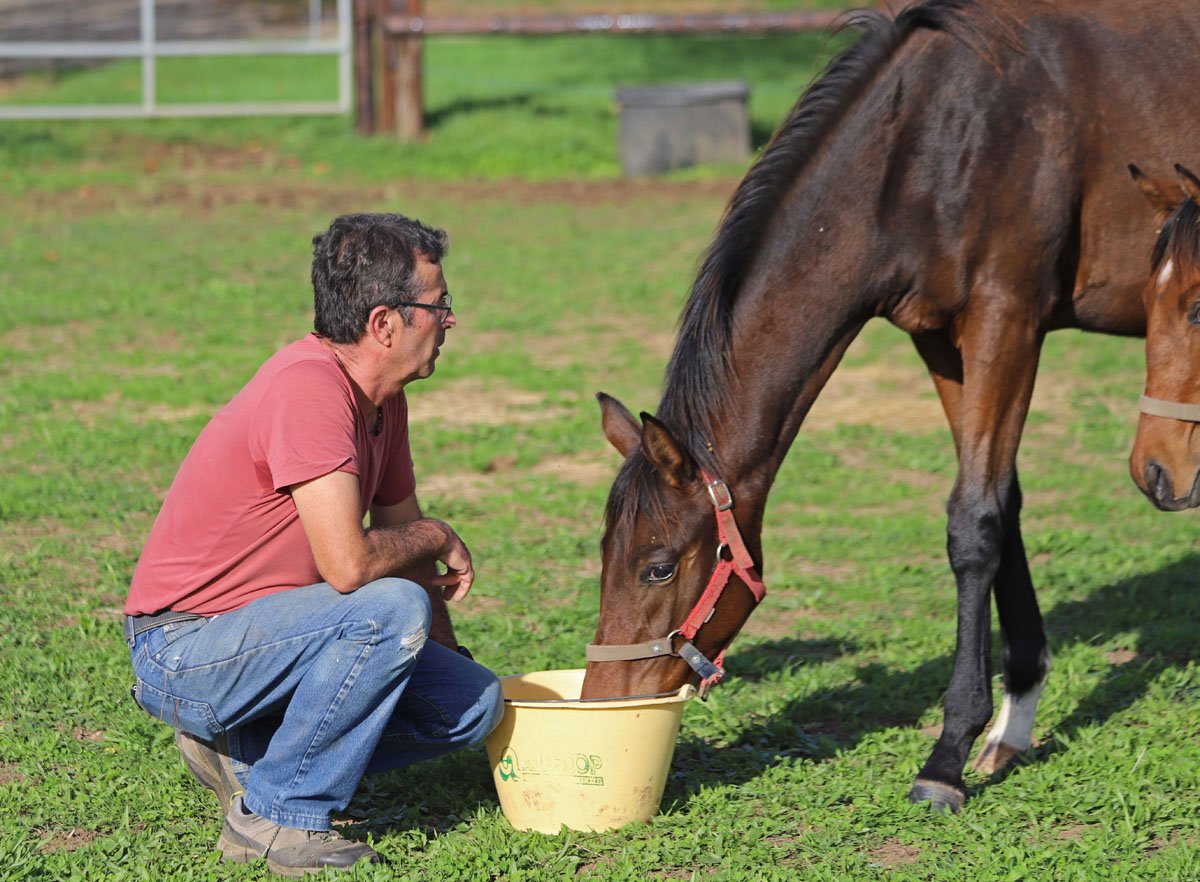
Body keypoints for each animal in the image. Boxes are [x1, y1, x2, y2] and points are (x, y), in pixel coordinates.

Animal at [580, 0, 1200, 813]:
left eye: (656, 568)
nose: (604, 699)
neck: (931, 141)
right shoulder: (943, 341)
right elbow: (1003, 504)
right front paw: (1014, 718)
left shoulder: (1007, 321)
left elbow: (974, 524)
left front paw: (947, 755)